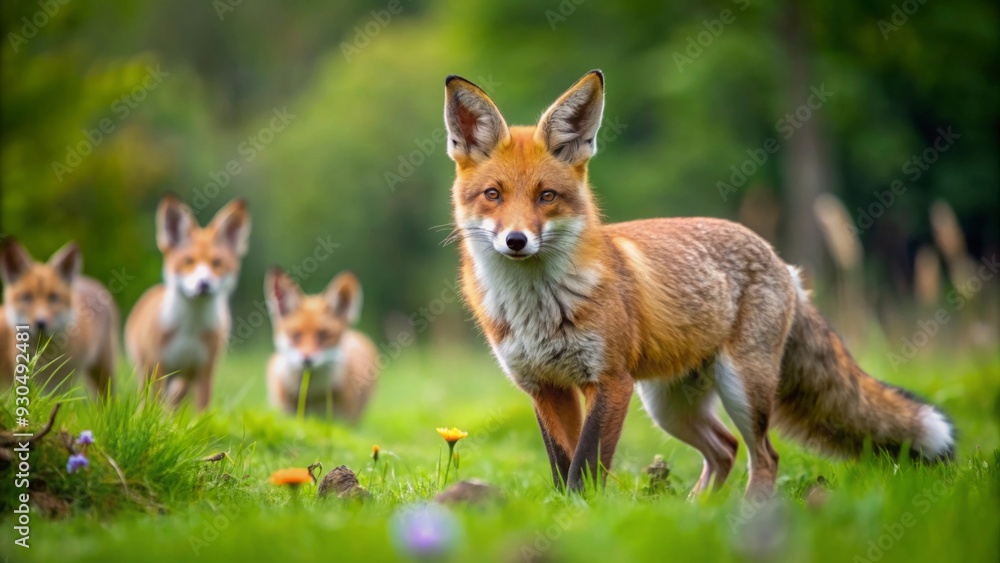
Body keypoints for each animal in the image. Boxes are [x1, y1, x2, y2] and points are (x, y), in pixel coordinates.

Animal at [0, 239, 119, 395]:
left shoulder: (61, 386)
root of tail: (88, 280)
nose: (41, 322)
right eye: (27, 297)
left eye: (53, 297)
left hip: (103, 371)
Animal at [125, 195, 250, 410]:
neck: (191, 328)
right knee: (148, 401)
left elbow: (201, 414)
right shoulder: (159, 367)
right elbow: (153, 409)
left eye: (217, 263)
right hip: (148, 373)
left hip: (183, 382)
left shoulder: (204, 371)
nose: (204, 284)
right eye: (189, 261)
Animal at [264, 267, 378, 422]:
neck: (311, 395)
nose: (307, 359)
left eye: (324, 335)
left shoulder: (342, 421)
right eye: (296, 335)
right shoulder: (286, 416)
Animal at [443, 70, 955, 497]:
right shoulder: (544, 387)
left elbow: (586, 465)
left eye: (546, 196)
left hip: (741, 388)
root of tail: (781, 260)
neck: (537, 307)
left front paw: (586, 515)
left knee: (764, 455)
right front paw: (569, 517)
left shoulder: (609, 381)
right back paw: (696, 513)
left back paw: (751, 519)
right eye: (494, 195)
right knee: (725, 449)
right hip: (671, 407)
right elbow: (562, 465)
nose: (516, 240)